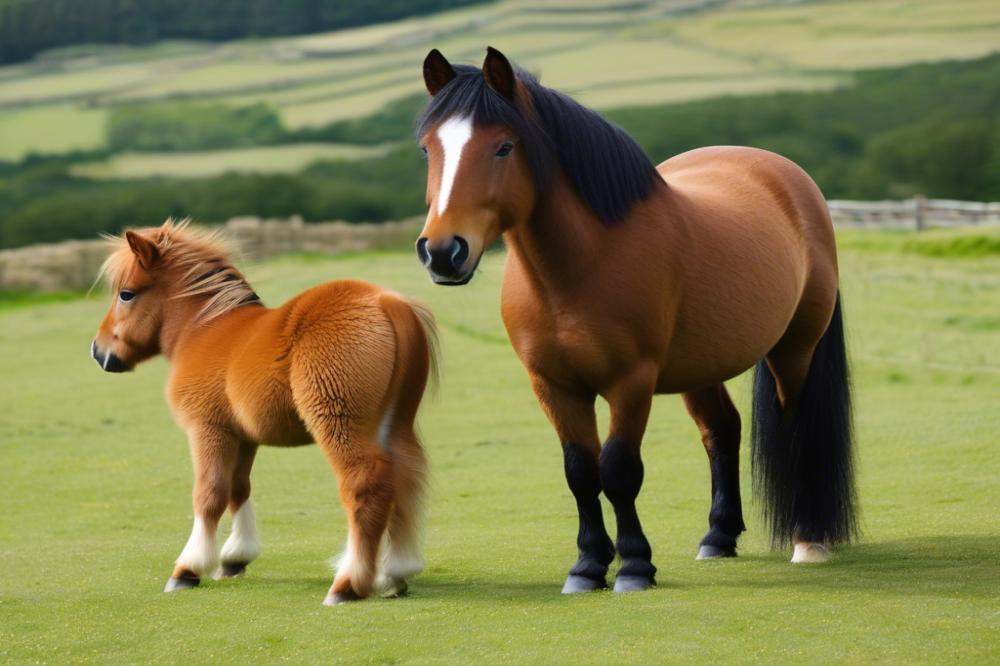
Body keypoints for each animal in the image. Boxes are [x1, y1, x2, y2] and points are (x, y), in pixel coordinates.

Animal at [91, 219, 438, 600]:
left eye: (126, 294)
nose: (98, 351)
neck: (202, 329)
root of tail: (387, 302)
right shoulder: (242, 436)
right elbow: (237, 488)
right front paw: (234, 558)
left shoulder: (207, 429)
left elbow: (209, 494)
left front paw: (188, 568)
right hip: (396, 425)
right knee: (405, 478)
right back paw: (394, 574)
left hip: (339, 422)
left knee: (367, 484)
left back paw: (347, 583)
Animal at [414, 48, 860, 592]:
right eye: (428, 151)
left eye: (503, 147)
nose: (443, 252)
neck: (582, 266)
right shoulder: (554, 385)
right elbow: (580, 473)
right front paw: (586, 567)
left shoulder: (631, 382)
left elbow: (619, 470)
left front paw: (633, 566)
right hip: (701, 367)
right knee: (721, 431)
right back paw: (718, 537)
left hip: (794, 351)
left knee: (799, 430)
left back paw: (808, 539)